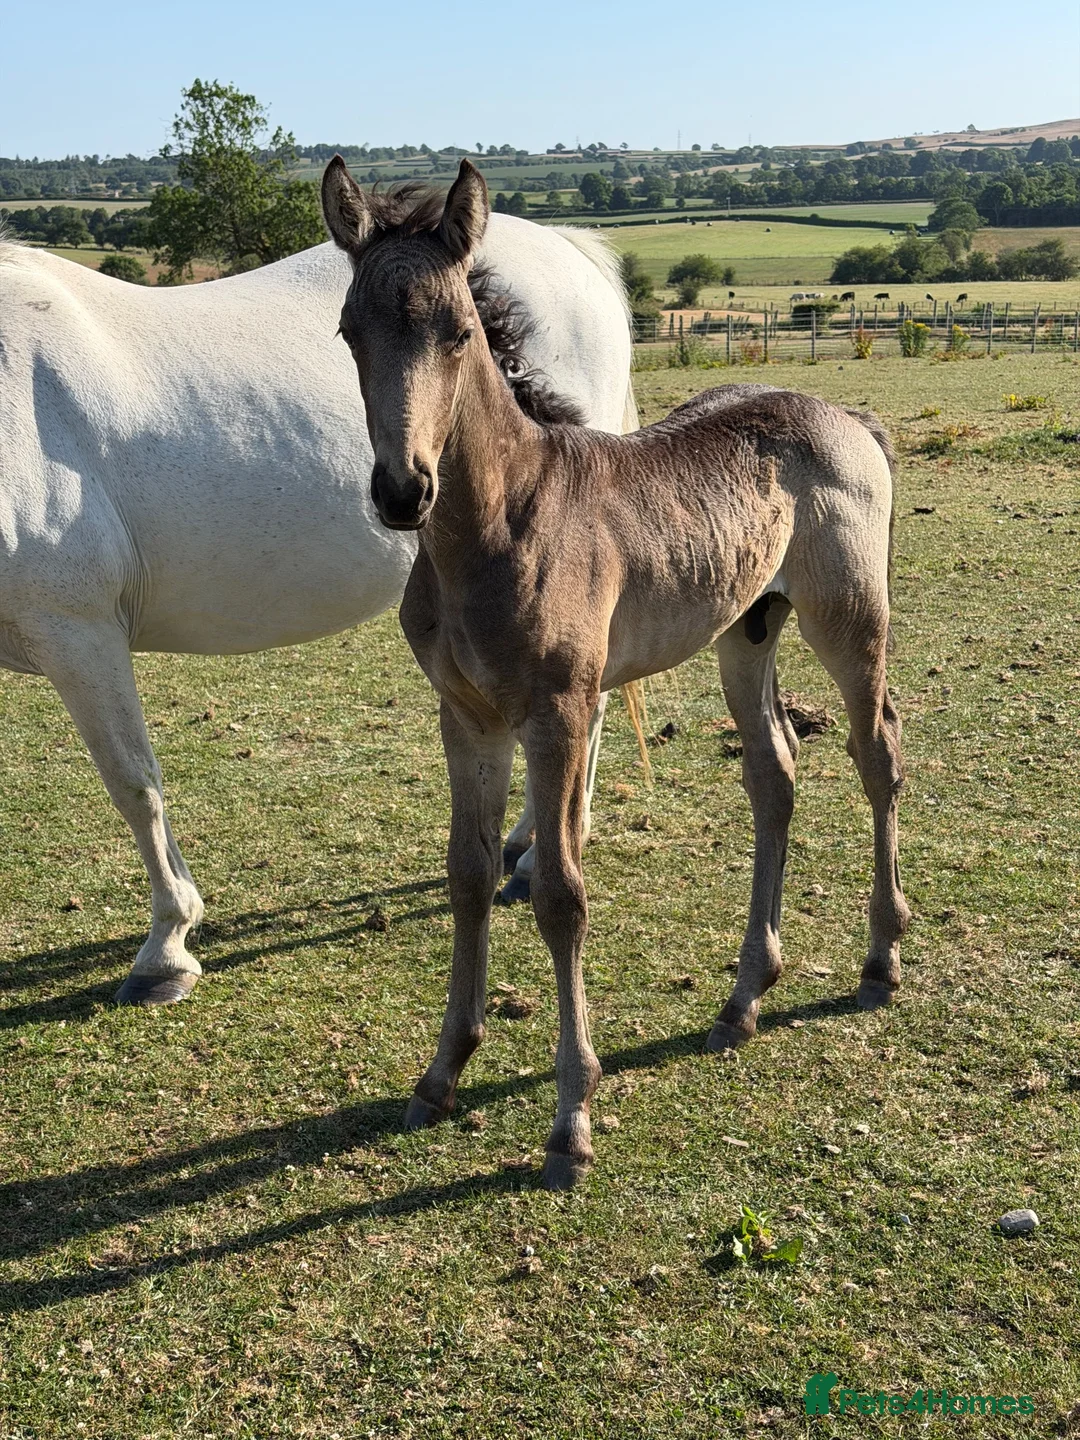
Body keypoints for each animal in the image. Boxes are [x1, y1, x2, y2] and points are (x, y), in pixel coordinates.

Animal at [0, 215, 635, 1005]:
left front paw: (167, 949)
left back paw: (532, 856)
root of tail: (571, 247)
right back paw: (521, 845)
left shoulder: (76, 632)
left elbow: (133, 784)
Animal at [322, 157, 911, 1189]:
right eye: (352, 332)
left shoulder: (558, 712)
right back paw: (744, 997)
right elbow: (469, 874)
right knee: (776, 775)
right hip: (745, 630)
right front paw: (442, 1073)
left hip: (847, 619)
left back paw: (879, 959)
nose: (403, 490)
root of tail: (847, 417)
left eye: (458, 330)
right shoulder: (465, 717)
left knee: (876, 752)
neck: (500, 523)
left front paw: (570, 1121)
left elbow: (559, 894)